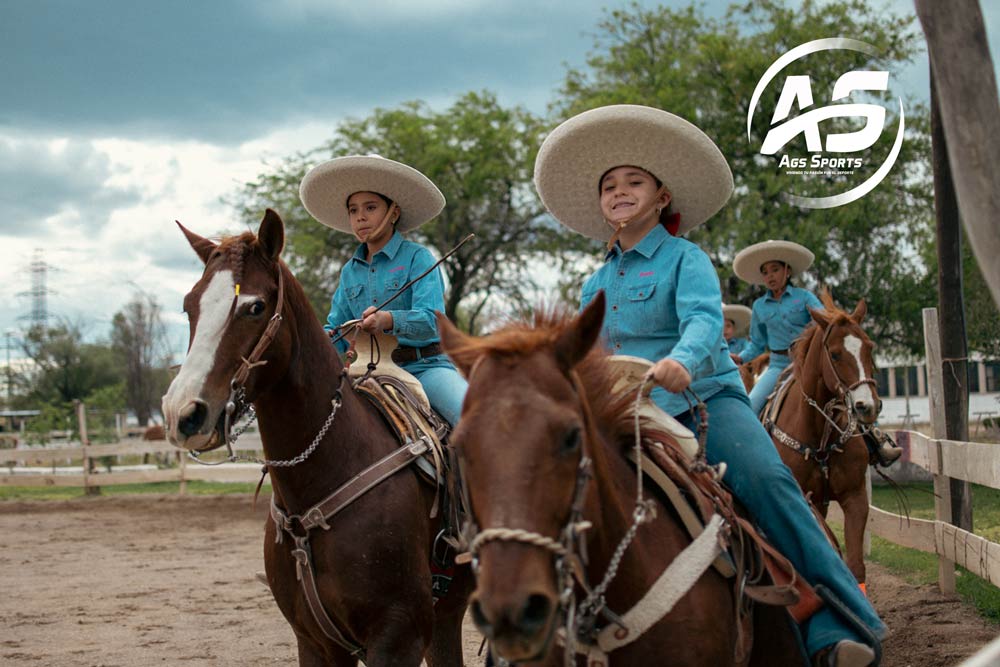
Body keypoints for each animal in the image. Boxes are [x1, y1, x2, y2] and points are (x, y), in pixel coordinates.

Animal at [163, 211, 472, 667]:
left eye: (255, 306)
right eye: (189, 305)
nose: (182, 413)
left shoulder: (399, 637)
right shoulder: (314, 642)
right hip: (449, 614)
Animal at [760, 294, 880, 588]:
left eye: (869, 347)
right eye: (835, 354)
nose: (867, 406)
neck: (820, 439)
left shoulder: (856, 498)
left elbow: (856, 567)